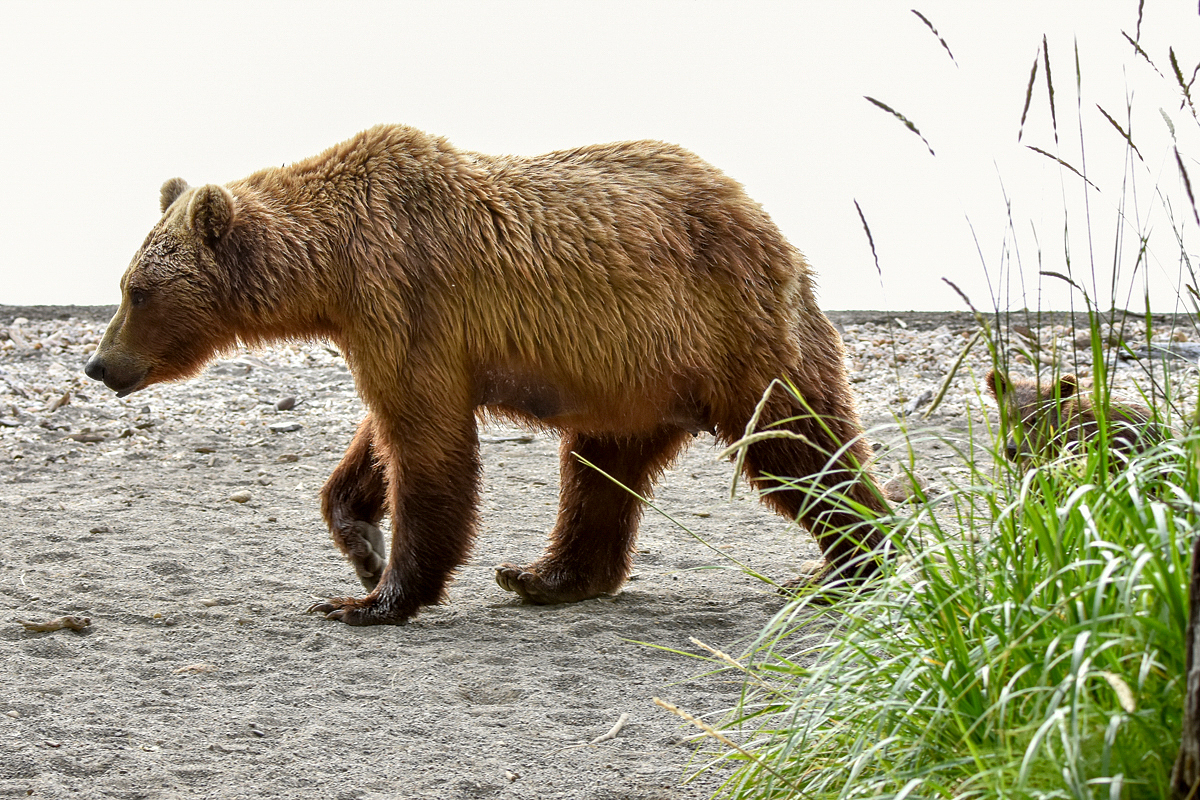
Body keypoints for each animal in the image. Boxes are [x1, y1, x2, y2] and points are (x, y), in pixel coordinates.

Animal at [84, 123, 892, 623]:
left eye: (137, 291)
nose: (98, 364)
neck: (331, 268)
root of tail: (774, 232)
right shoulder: (385, 327)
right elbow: (382, 434)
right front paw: (362, 548)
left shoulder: (406, 292)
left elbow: (427, 444)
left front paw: (373, 600)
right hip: (629, 377)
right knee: (598, 473)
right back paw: (543, 576)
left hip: (728, 333)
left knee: (799, 449)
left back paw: (848, 565)